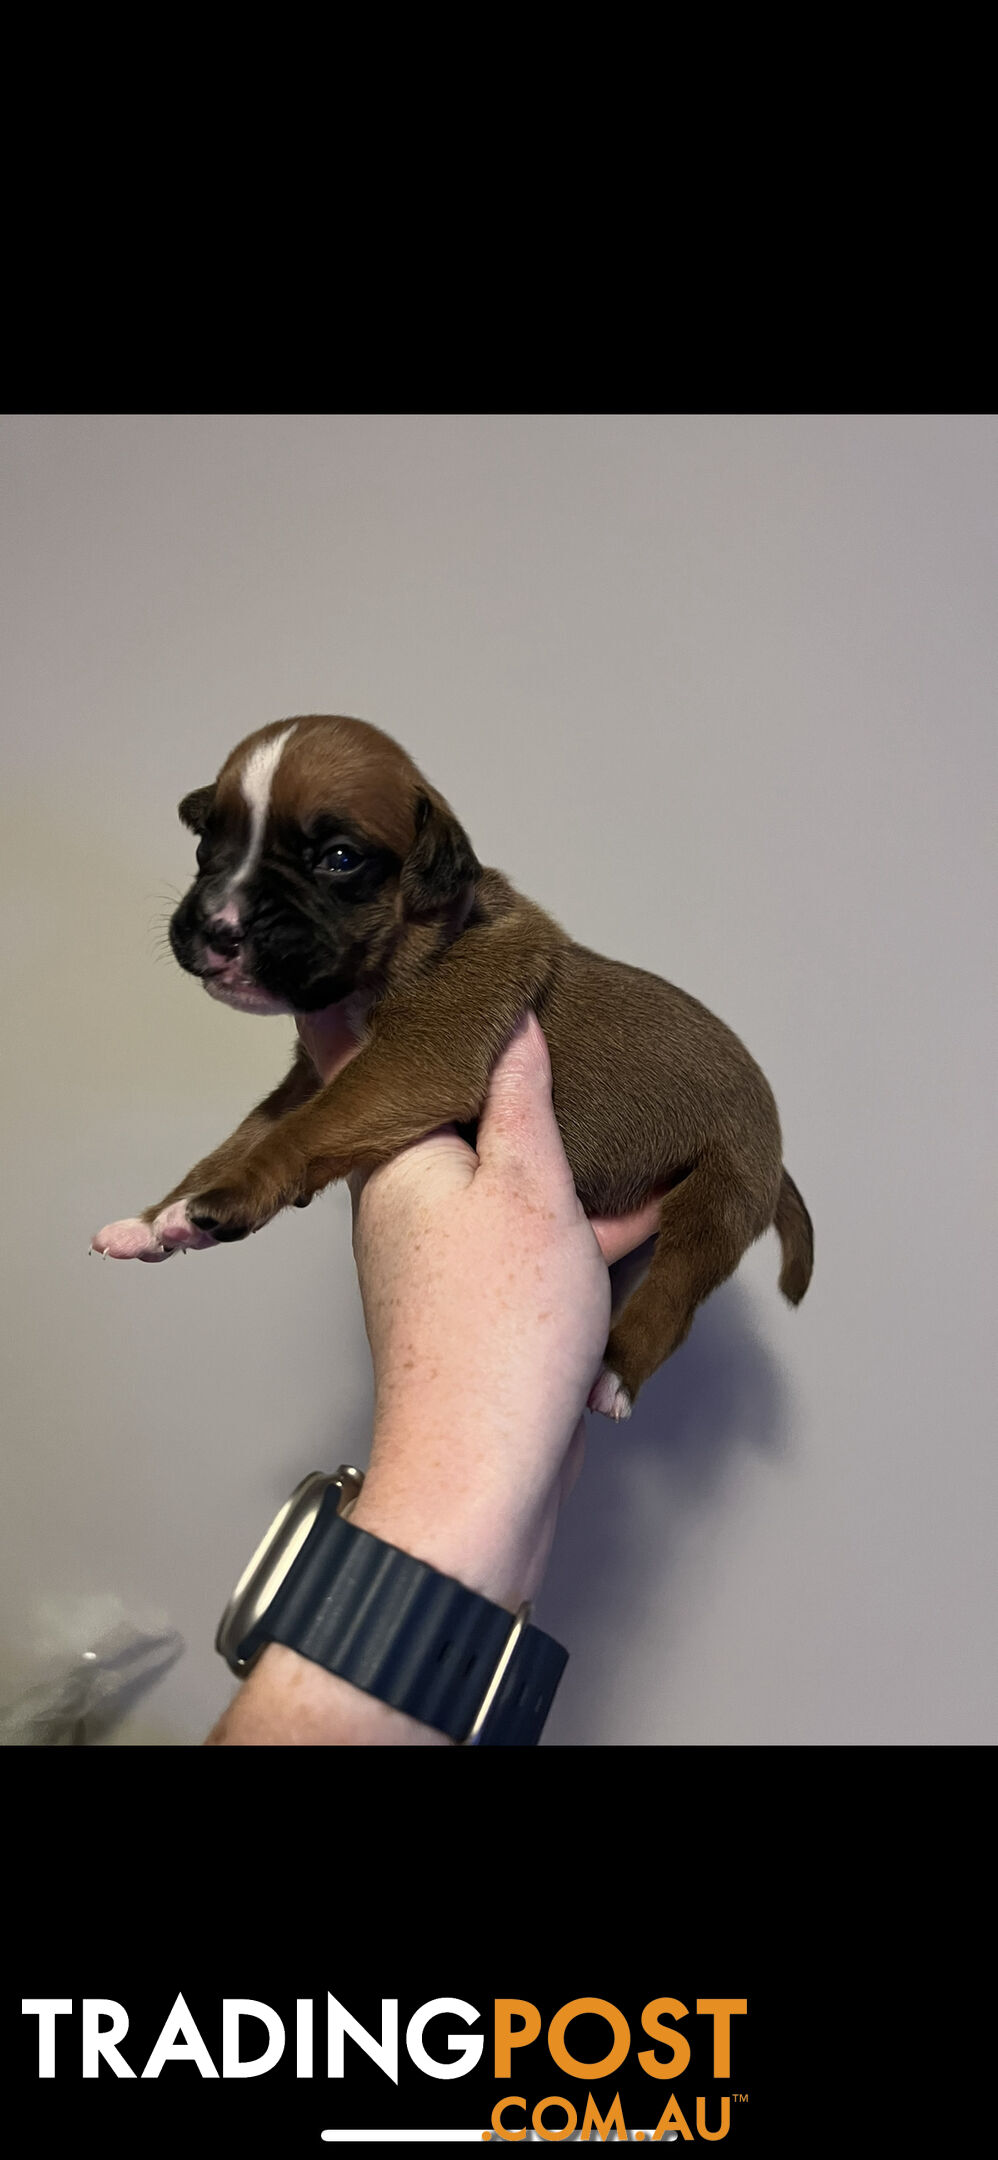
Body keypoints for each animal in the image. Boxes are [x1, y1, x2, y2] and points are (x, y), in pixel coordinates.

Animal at [89, 712, 816, 1416]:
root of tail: (775, 1154)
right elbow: (244, 1137)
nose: (218, 926)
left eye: (340, 859)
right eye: (206, 845)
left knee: (672, 1300)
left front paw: (221, 1200)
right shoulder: (310, 1077)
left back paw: (616, 1376)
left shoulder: (412, 1063)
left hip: (714, 1199)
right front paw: (160, 1218)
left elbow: (302, 1131)